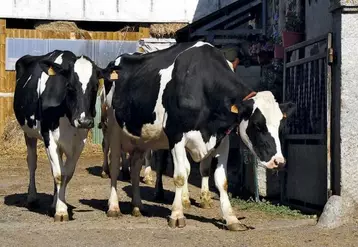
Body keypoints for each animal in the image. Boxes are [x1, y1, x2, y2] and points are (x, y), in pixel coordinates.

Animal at [13, 50, 102, 222]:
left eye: (95, 87)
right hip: (29, 132)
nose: (84, 121)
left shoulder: (79, 142)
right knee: (32, 162)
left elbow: (66, 174)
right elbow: (60, 174)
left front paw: (58, 206)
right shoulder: (49, 138)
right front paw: (61, 211)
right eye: (70, 86)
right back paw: (32, 198)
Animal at [101, 41, 296, 231]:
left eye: (280, 124)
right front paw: (177, 215)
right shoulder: (176, 135)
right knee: (114, 165)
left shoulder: (222, 139)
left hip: (141, 137)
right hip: (113, 128)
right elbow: (180, 176)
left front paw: (231, 218)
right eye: (257, 124)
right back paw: (114, 207)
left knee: (135, 169)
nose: (279, 162)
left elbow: (221, 181)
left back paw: (137, 206)